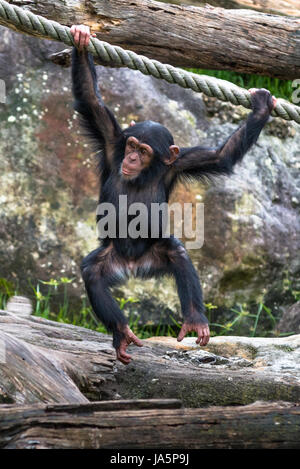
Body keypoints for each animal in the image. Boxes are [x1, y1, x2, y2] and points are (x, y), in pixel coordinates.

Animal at [70, 23, 276, 364]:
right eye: (131, 145)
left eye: (144, 151)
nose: (131, 159)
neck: (145, 172)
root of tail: (132, 267)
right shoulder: (111, 140)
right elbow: (89, 98)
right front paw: (82, 39)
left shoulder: (179, 164)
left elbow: (220, 157)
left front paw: (260, 109)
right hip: (110, 257)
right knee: (93, 273)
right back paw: (121, 332)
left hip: (156, 253)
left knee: (179, 256)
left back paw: (195, 320)